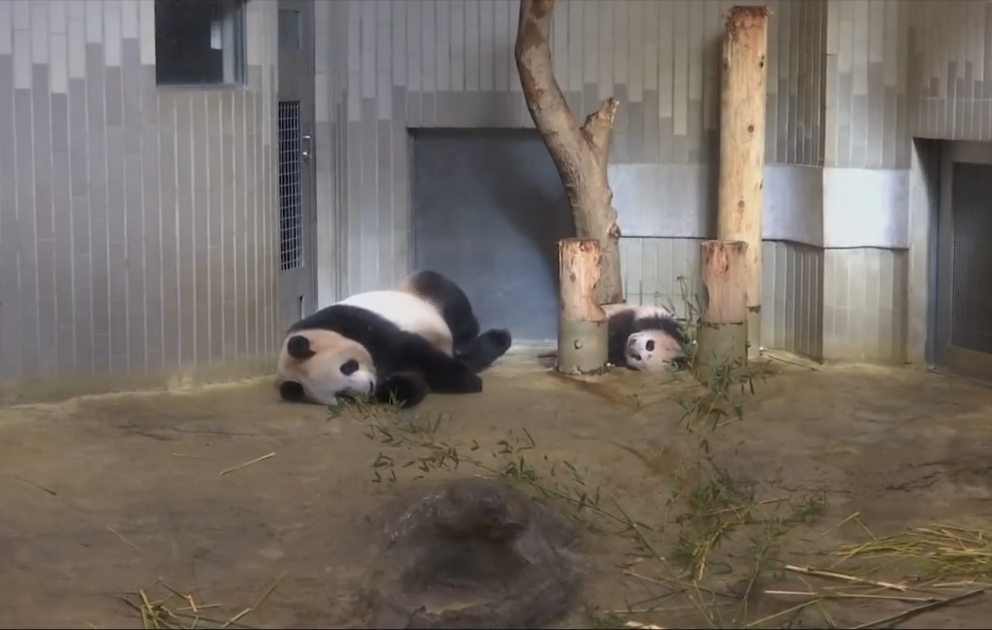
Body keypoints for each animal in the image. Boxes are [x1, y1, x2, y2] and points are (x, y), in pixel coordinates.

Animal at [276, 270, 512, 409]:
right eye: (343, 395)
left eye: (347, 367)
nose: (369, 386)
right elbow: (410, 384)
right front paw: (398, 385)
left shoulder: (356, 325)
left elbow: (414, 351)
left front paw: (469, 381)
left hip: (425, 297)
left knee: (457, 315)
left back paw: (497, 338)